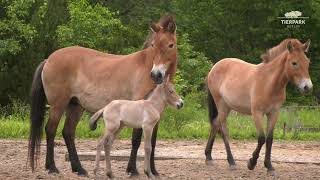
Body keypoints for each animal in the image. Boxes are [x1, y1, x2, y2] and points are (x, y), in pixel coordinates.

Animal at [27, 15, 178, 176]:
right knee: (50, 130)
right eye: (153, 45)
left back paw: (79, 169)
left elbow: (153, 142)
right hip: (58, 105)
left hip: (75, 106)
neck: (145, 66)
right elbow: (136, 140)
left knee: (68, 132)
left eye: (170, 45)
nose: (156, 75)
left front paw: (153, 170)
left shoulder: (155, 117)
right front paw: (132, 170)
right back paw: (52, 167)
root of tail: (48, 59)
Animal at [205, 38, 312, 175]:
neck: (268, 82)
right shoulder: (257, 113)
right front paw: (251, 163)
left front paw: (269, 166)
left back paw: (208, 157)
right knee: (224, 130)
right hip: (221, 106)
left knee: (215, 124)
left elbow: (269, 139)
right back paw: (231, 161)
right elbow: (261, 138)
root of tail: (214, 68)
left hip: (227, 107)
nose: (307, 87)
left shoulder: (273, 113)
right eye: (294, 63)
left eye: (307, 62)